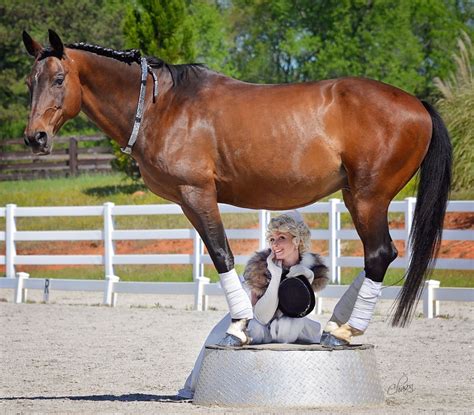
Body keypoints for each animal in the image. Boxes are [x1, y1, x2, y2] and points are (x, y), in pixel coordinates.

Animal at [23, 29, 452, 346]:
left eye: (59, 79)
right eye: (30, 82)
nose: (34, 138)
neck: (164, 107)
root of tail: (417, 103)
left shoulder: (197, 193)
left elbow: (221, 255)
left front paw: (238, 326)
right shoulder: (188, 200)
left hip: (367, 198)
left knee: (379, 254)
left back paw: (345, 331)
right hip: (356, 197)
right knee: (376, 257)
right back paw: (337, 325)